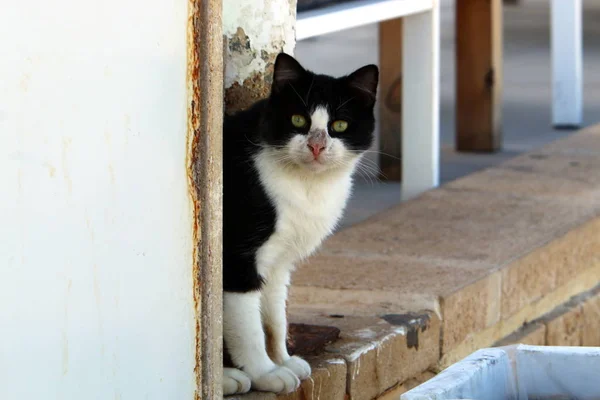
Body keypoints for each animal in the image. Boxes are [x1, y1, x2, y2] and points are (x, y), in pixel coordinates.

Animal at [220, 52, 380, 394]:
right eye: (298, 120)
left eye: (339, 125)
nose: (316, 146)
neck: (307, 184)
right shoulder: (238, 258)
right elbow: (248, 325)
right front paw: (265, 373)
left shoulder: (278, 263)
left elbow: (274, 319)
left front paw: (282, 360)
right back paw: (228, 379)